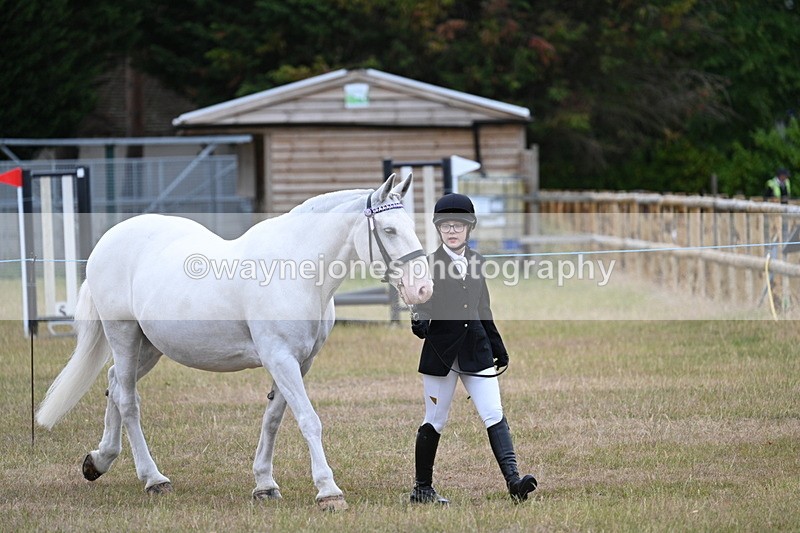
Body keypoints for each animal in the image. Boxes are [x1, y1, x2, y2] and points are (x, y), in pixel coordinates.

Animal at [35, 173, 432, 511]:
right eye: (389, 230)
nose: (423, 289)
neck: (296, 271)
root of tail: (107, 241)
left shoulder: (298, 362)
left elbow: (273, 419)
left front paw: (265, 485)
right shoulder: (280, 358)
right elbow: (309, 419)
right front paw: (328, 491)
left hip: (149, 347)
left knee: (115, 382)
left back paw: (99, 460)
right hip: (124, 334)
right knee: (128, 400)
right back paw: (153, 478)